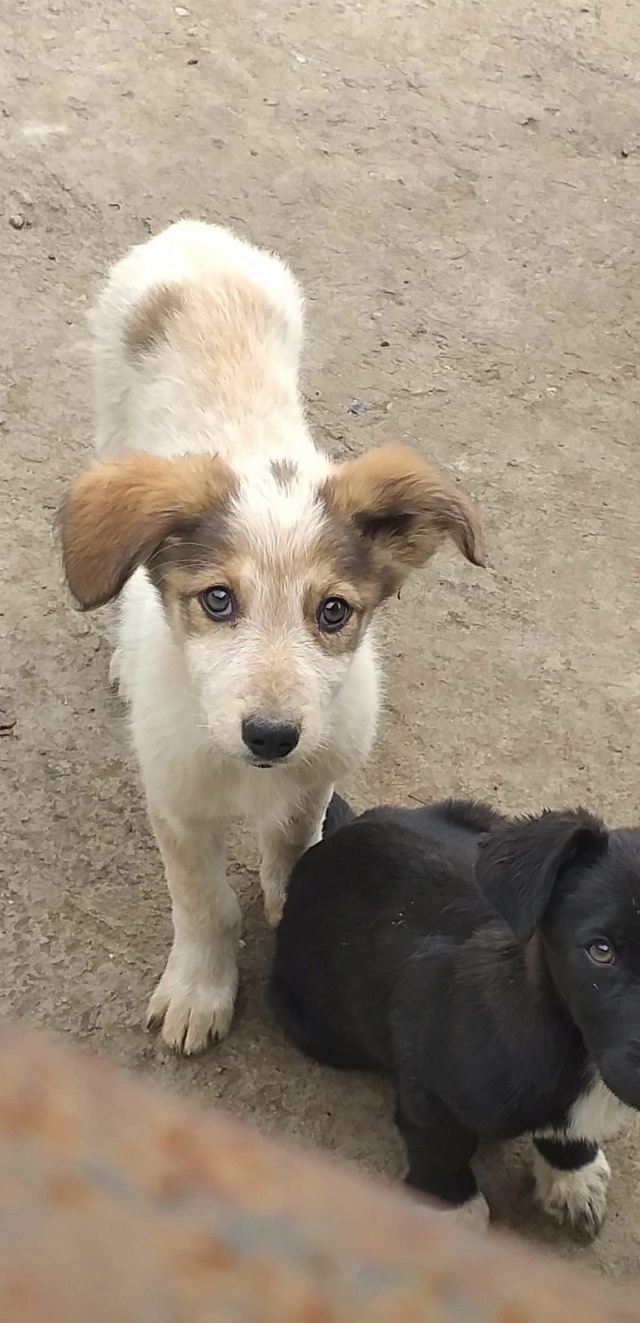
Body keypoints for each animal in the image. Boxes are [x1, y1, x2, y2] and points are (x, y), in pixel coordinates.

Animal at [61, 224, 483, 1053]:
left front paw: (295, 902)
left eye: (334, 612)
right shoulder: (177, 803)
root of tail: (192, 235)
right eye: (218, 600)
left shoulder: (316, 767)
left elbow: (294, 841)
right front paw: (200, 989)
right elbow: (203, 905)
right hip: (109, 415)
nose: (270, 733)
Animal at [267, 788, 637, 1233]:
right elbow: (443, 1147)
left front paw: (572, 1175)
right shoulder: (426, 1082)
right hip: (320, 1035)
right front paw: (454, 1210)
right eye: (601, 950)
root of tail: (342, 832)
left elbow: (567, 1130)